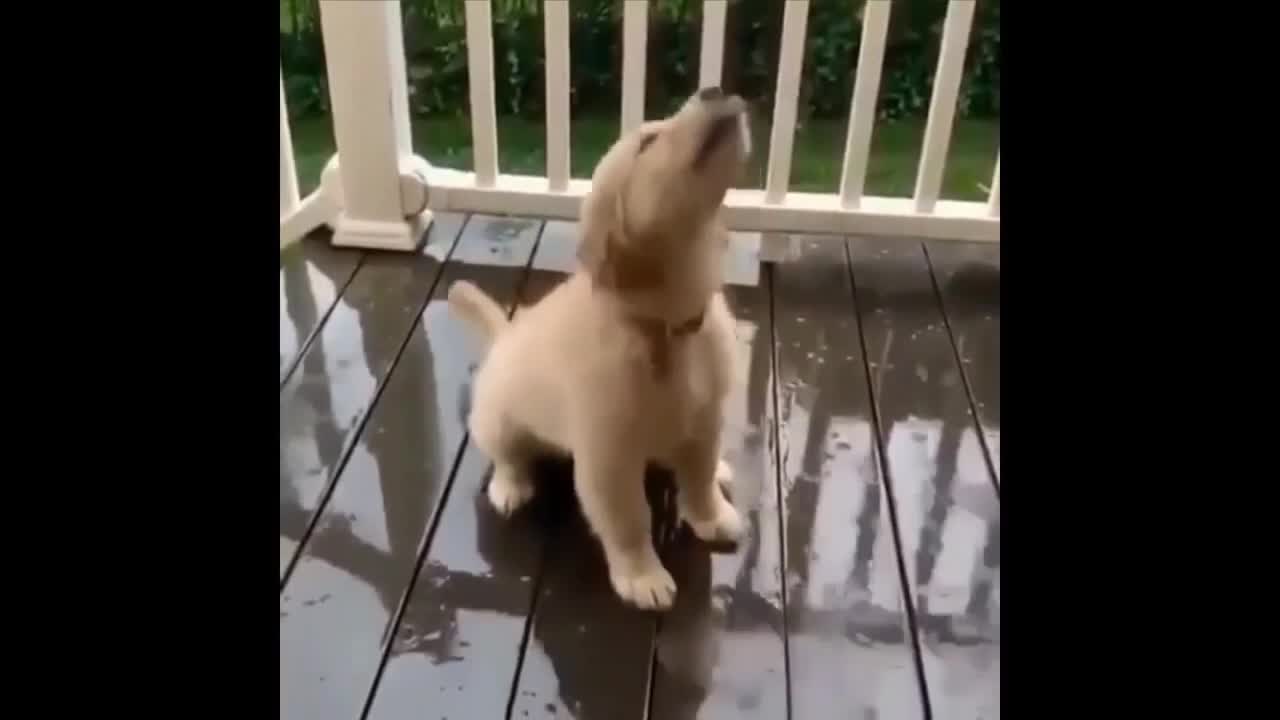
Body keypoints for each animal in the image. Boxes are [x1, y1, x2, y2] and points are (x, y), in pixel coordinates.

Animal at [448, 87, 747, 607]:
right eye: (648, 142)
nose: (714, 89)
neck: (666, 327)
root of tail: (504, 336)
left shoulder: (705, 419)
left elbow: (698, 480)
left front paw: (711, 516)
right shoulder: (608, 453)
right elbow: (629, 518)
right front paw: (642, 576)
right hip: (499, 421)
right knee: (507, 455)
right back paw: (510, 486)